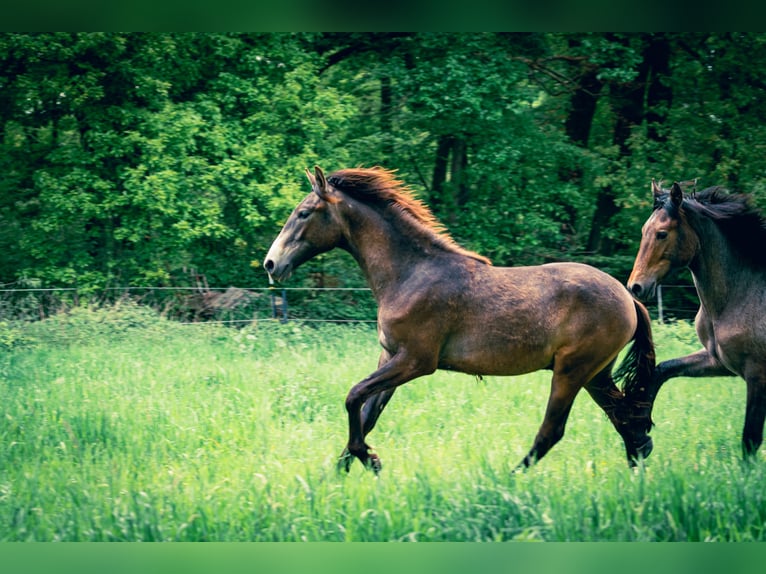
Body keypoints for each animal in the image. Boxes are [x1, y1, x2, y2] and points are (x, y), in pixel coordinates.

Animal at [264, 166, 655, 473]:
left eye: (303, 213)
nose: (271, 264)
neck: (411, 273)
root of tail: (629, 299)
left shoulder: (416, 361)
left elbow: (353, 396)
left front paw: (369, 460)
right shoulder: (390, 357)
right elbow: (366, 414)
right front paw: (339, 475)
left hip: (571, 372)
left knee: (554, 431)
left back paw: (507, 480)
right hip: (595, 375)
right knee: (627, 419)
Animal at [628, 180, 766, 458]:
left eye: (662, 233)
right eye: (644, 230)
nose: (635, 287)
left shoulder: (757, 375)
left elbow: (750, 440)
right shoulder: (718, 361)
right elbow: (661, 370)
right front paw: (639, 438)